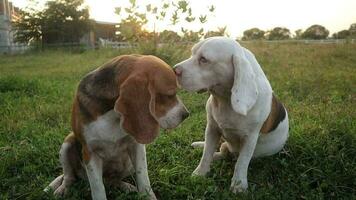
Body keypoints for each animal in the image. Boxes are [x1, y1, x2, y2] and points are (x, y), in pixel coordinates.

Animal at [45, 54, 189, 200]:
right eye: (170, 94)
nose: (186, 115)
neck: (112, 115)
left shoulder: (137, 146)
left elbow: (143, 177)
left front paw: (148, 196)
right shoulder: (89, 153)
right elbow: (97, 187)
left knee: (111, 181)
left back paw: (125, 186)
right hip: (67, 142)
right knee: (69, 176)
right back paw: (63, 188)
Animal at [175, 36, 290, 193]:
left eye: (204, 59)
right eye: (192, 53)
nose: (174, 70)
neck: (224, 100)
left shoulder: (250, 138)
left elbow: (242, 162)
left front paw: (239, 184)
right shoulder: (211, 129)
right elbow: (206, 154)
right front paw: (199, 173)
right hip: (223, 143)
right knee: (219, 152)